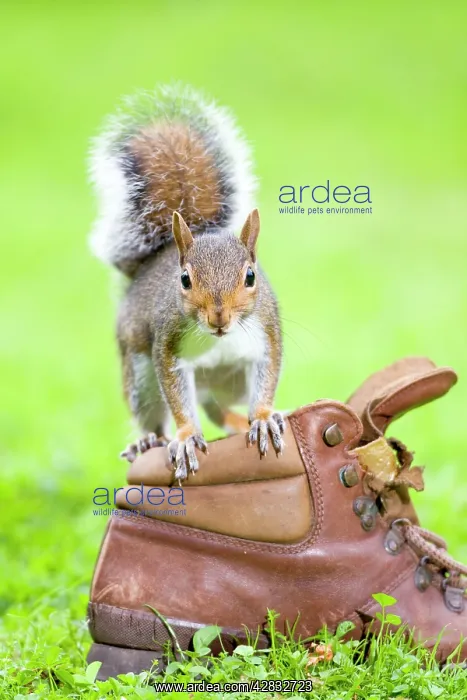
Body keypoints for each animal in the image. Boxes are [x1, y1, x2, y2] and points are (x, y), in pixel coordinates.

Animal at [89, 85, 284, 479]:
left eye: (251, 276)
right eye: (184, 280)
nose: (219, 318)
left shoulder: (266, 336)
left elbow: (267, 377)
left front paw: (263, 418)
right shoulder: (168, 348)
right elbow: (177, 396)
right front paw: (185, 437)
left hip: (231, 383)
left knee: (216, 408)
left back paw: (242, 422)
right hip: (140, 375)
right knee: (162, 411)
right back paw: (148, 441)